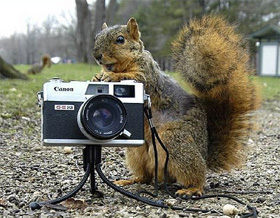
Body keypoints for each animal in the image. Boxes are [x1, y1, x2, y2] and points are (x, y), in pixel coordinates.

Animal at [93, 15, 262, 196]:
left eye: (120, 40)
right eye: (97, 37)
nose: (97, 55)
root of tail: (204, 153)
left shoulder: (148, 76)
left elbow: (136, 78)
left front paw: (112, 76)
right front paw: (97, 76)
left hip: (174, 142)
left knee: (196, 175)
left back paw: (193, 188)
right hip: (136, 151)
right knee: (146, 176)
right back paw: (130, 180)